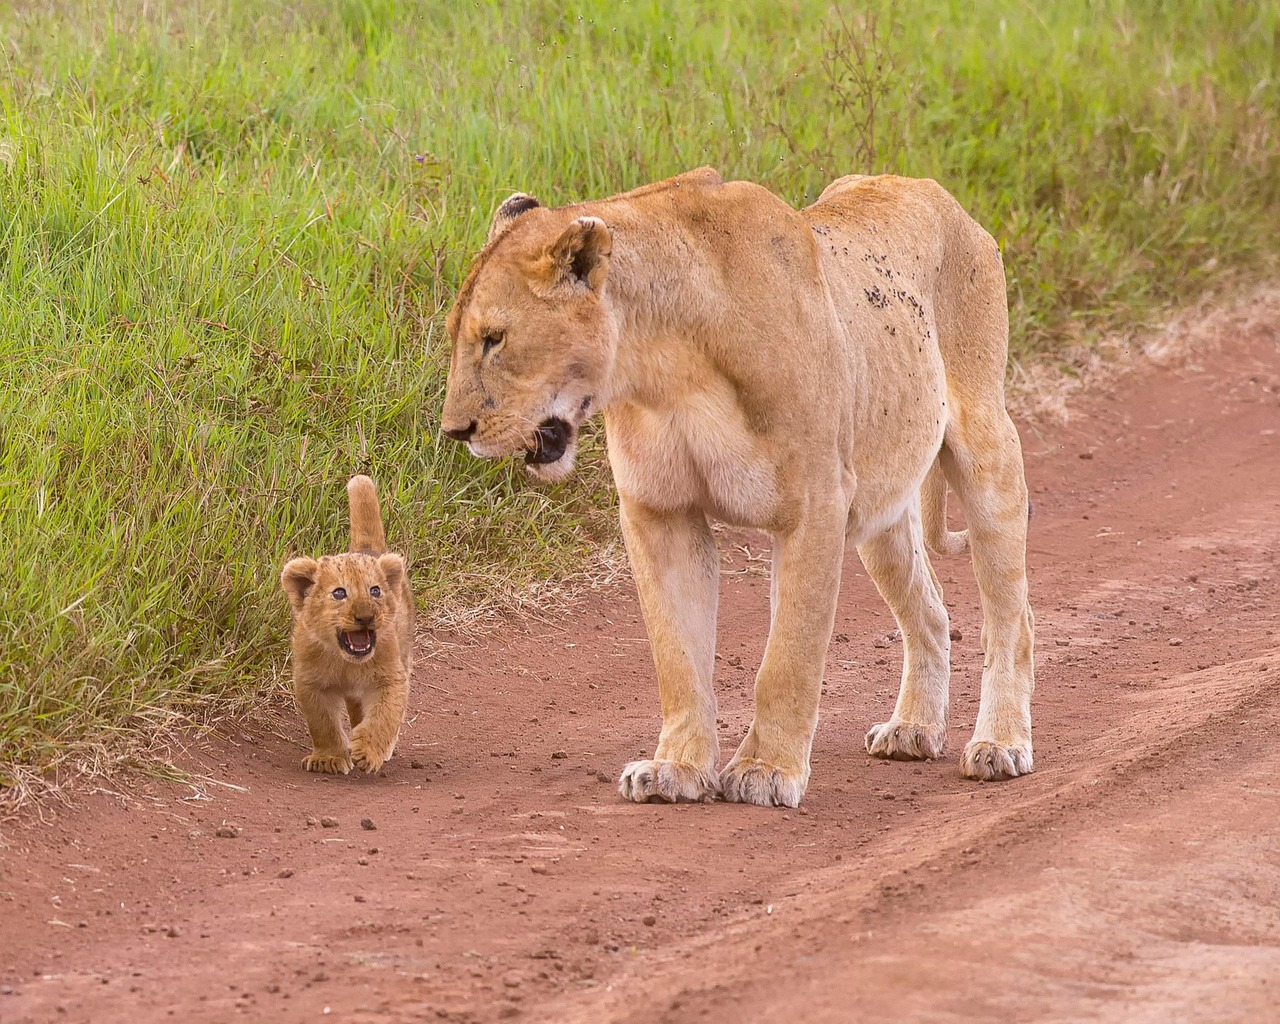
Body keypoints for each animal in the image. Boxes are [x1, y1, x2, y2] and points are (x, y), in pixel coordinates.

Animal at [280, 475, 415, 774]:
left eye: (375, 591)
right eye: (339, 593)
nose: (365, 616)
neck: (347, 663)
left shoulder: (390, 677)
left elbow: (385, 715)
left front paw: (367, 750)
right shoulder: (310, 682)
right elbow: (323, 724)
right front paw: (329, 758)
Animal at [441, 168, 1035, 807]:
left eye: (495, 338)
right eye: (458, 336)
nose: (454, 430)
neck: (664, 367)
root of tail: (926, 184)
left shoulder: (815, 504)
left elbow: (788, 658)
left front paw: (766, 771)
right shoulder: (659, 513)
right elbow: (677, 656)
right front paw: (675, 768)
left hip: (987, 448)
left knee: (1011, 616)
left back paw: (1000, 745)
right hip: (883, 508)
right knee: (930, 613)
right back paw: (913, 729)